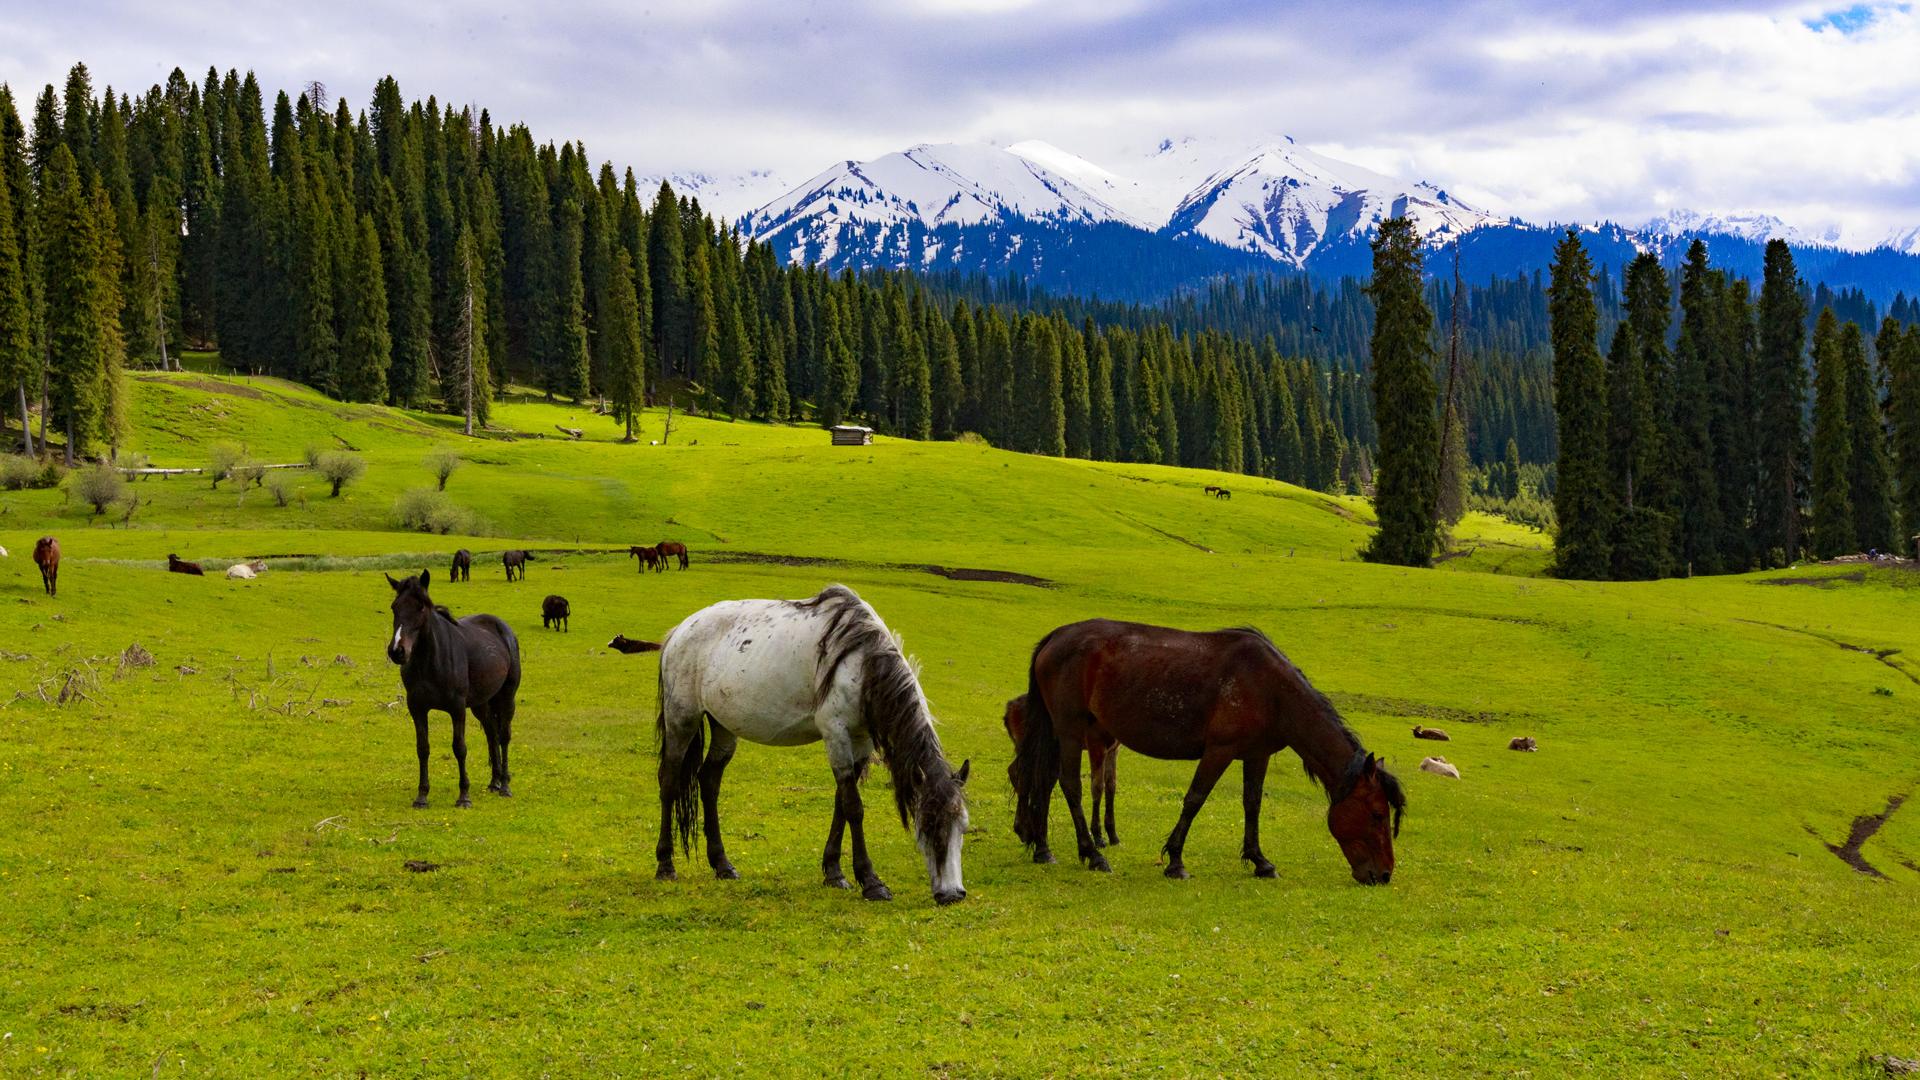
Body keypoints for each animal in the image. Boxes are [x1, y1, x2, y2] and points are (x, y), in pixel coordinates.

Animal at [384, 568, 522, 803]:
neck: (431, 662)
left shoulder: (457, 708)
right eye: (395, 607)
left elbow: (460, 748)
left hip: (506, 698)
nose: (397, 651)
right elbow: (423, 748)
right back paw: (494, 782)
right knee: (491, 734)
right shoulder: (417, 708)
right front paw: (422, 796)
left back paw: (504, 785)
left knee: (503, 736)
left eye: (421, 606)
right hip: (481, 704)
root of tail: (505, 630)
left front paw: (464, 796)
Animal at [656, 580, 967, 899]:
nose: (953, 894)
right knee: (669, 781)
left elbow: (841, 804)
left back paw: (722, 865)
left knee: (708, 781)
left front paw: (834, 872)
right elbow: (853, 807)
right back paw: (666, 865)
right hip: (682, 719)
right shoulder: (836, 734)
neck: (860, 662)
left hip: (723, 726)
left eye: (963, 827)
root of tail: (678, 632)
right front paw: (870, 881)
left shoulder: (861, 741)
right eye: (928, 825)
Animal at [1013, 618, 1405, 880]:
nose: (1384, 875)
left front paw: (1260, 861)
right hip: (1070, 731)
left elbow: (1252, 804)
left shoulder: (1257, 754)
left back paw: (1043, 849)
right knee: (1070, 786)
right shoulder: (1219, 751)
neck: (1271, 690)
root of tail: (1055, 637)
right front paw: (1175, 861)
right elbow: (1195, 799)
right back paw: (1092, 854)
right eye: (1377, 815)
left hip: (1058, 733)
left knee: (1043, 781)